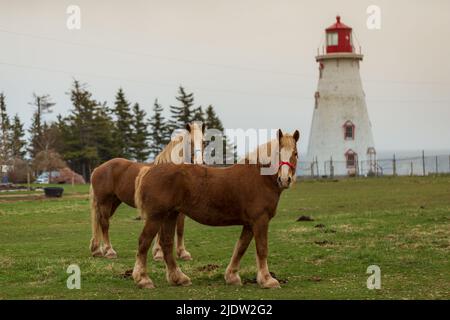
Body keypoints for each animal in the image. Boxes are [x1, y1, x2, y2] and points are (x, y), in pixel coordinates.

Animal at [89, 121, 206, 258]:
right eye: (189, 142)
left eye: (204, 142)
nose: (199, 163)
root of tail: (98, 168)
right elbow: (161, 230)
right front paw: (159, 252)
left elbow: (180, 228)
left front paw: (182, 252)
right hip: (105, 202)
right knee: (104, 223)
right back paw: (109, 250)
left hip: (114, 202)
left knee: (99, 221)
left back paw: (97, 250)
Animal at [132, 129, 298, 288]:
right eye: (278, 153)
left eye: (295, 153)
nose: (284, 179)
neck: (260, 177)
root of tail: (148, 170)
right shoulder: (260, 220)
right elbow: (262, 249)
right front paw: (267, 280)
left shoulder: (249, 224)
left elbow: (240, 248)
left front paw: (232, 276)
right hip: (156, 217)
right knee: (144, 242)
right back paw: (143, 279)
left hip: (170, 215)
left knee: (166, 243)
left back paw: (178, 278)